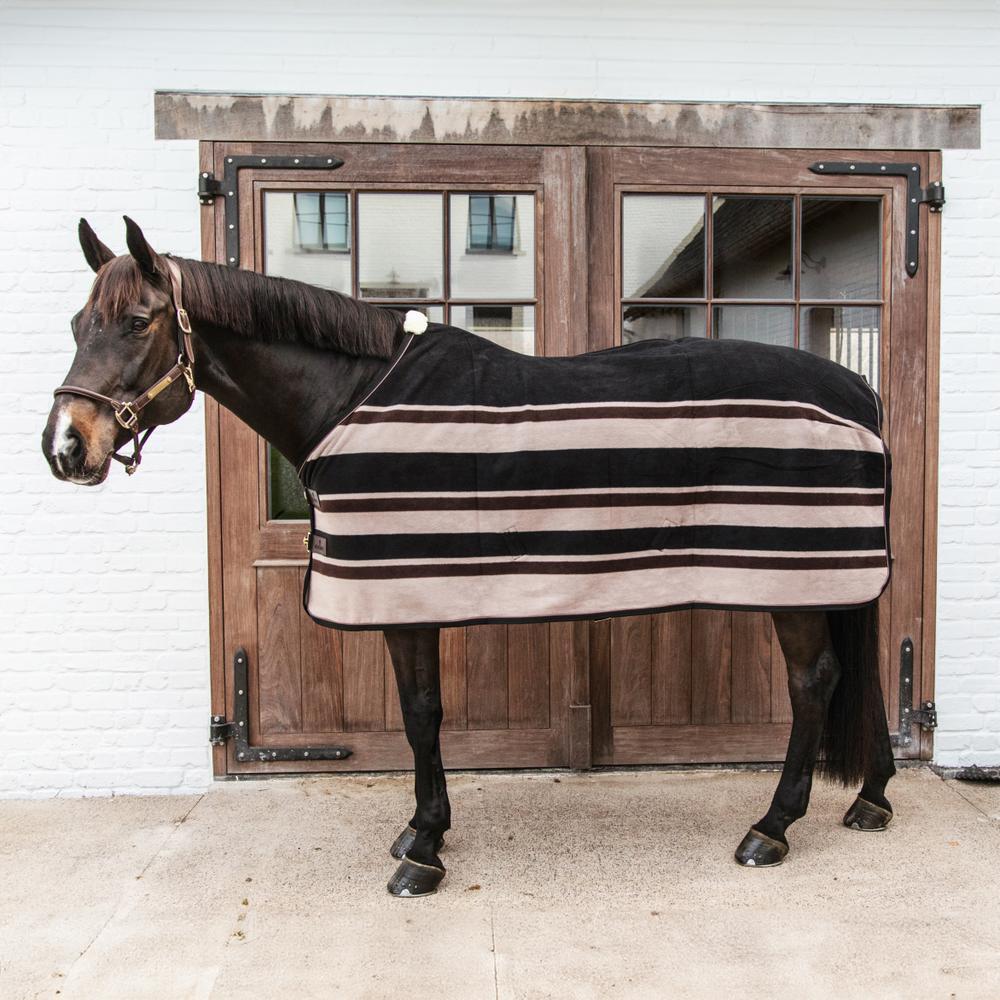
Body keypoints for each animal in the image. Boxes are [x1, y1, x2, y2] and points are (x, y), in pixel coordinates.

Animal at [42, 217, 896, 897]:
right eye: (80, 320)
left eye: (140, 321)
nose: (65, 448)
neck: (350, 399)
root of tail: (856, 390)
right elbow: (420, 713)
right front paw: (423, 831)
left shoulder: (404, 596)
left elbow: (422, 713)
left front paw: (422, 849)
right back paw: (871, 798)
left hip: (792, 578)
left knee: (813, 683)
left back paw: (772, 828)